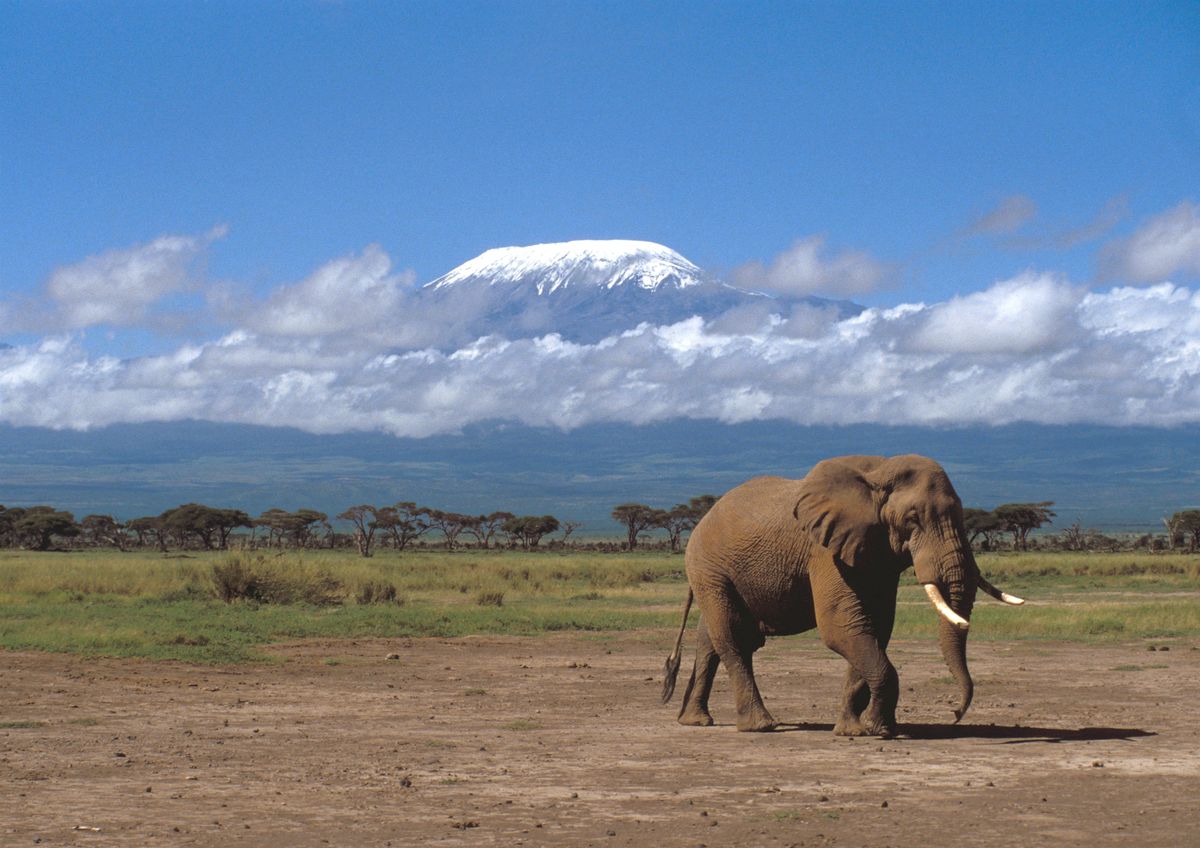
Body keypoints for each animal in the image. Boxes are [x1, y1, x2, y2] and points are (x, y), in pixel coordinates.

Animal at [662, 453, 1027, 738]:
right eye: (913, 519)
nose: (954, 713)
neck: (879, 471)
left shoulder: (875, 551)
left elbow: (873, 626)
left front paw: (857, 730)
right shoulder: (824, 550)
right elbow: (841, 625)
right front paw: (879, 731)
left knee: (710, 639)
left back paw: (695, 721)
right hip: (708, 568)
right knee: (733, 636)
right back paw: (760, 726)